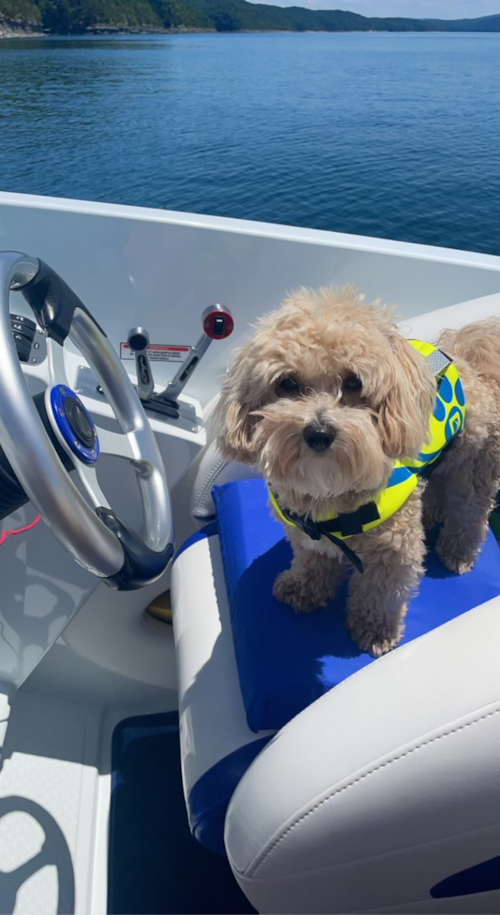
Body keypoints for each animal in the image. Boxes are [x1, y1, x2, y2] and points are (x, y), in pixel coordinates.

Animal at [215, 290, 500, 656]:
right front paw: (304, 587)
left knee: (470, 511)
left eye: (354, 382)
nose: (319, 432)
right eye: (287, 383)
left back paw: (458, 551)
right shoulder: (306, 533)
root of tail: (469, 361)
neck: (330, 491)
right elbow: (312, 559)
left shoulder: (394, 549)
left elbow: (379, 592)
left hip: (476, 464)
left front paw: (376, 631)